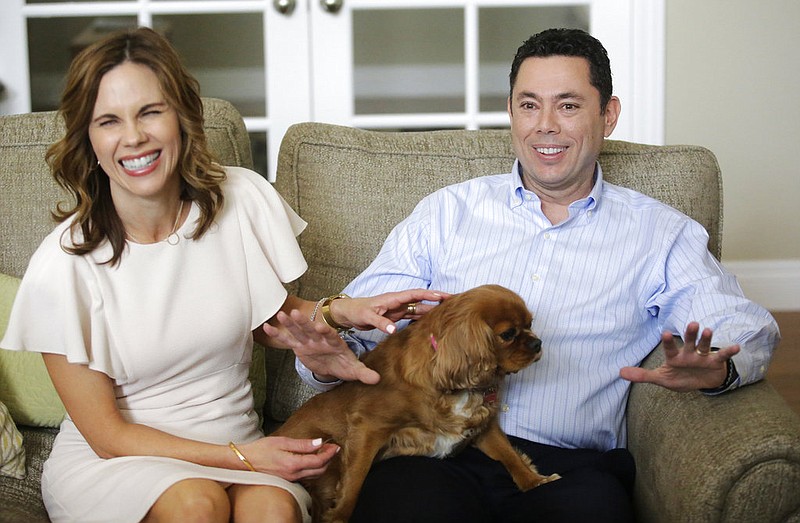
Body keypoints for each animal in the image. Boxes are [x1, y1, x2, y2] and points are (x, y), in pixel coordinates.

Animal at [272, 286, 560, 523]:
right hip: (324, 447)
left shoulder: (483, 427)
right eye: (508, 334)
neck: (452, 386)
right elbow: (354, 481)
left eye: (531, 324)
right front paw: (339, 517)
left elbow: (510, 455)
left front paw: (535, 481)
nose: (537, 343)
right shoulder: (368, 427)